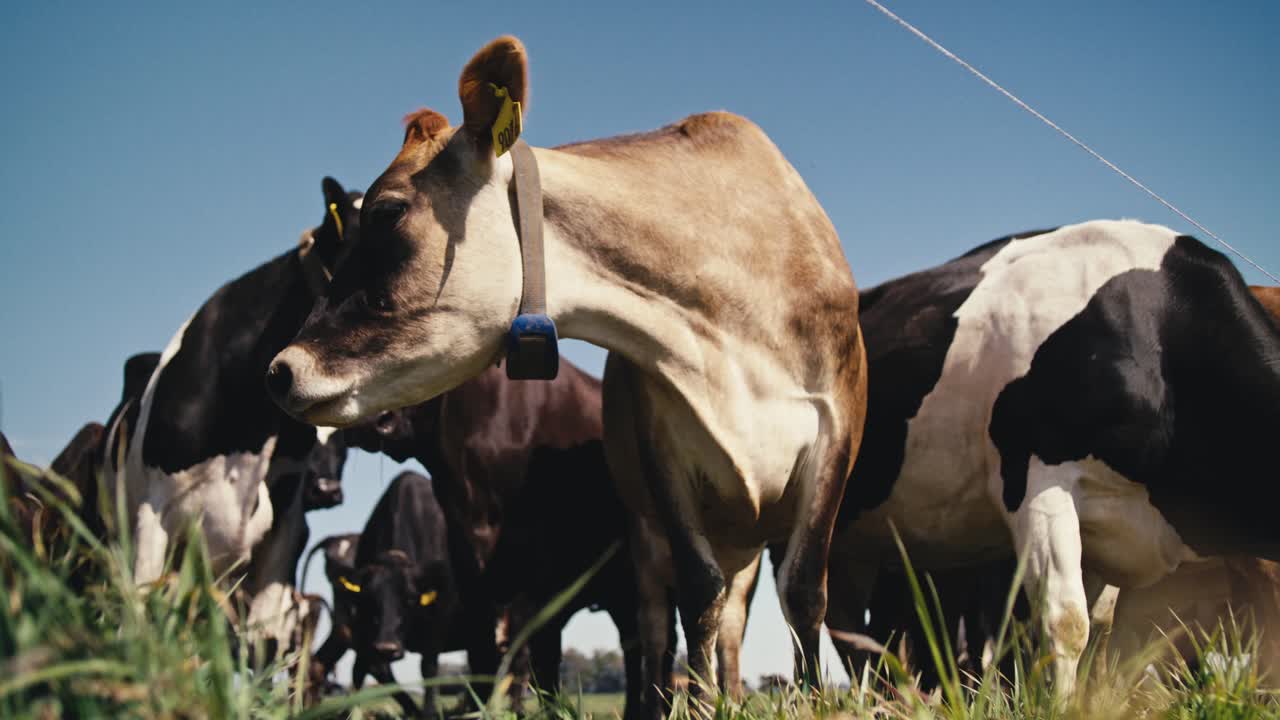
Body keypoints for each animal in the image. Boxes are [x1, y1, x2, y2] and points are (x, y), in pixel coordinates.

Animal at [818, 219, 1280, 698]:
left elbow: (1096, 628)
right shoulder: (1038, 478)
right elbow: (1067, 620)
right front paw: (1059, 704)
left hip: (859, 547)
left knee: (849, 627)